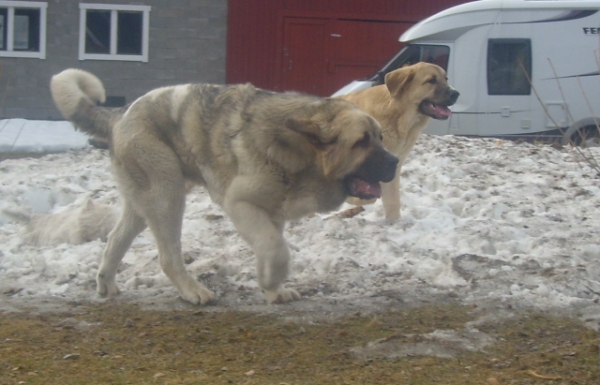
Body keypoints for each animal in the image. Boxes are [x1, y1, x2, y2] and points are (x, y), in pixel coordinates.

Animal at [50, 68, 398, 304]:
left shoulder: (271, 214)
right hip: (167, 192)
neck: (301, 151)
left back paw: (105, 284)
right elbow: (276, 249)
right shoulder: (240, 204)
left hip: (143, 200)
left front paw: (272, 289)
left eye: (380, 137)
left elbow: (270, 246)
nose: (395, 162)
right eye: (361, 142)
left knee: (115, 240)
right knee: (168, 256)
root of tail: (122, 113)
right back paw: (192, 291)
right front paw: (271, 279)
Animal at [338, 62, 460, 219]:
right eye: (431, 81)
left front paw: (393, 222)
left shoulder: (392, 167)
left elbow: (392, 201)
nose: (456, 94)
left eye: (446, 79)